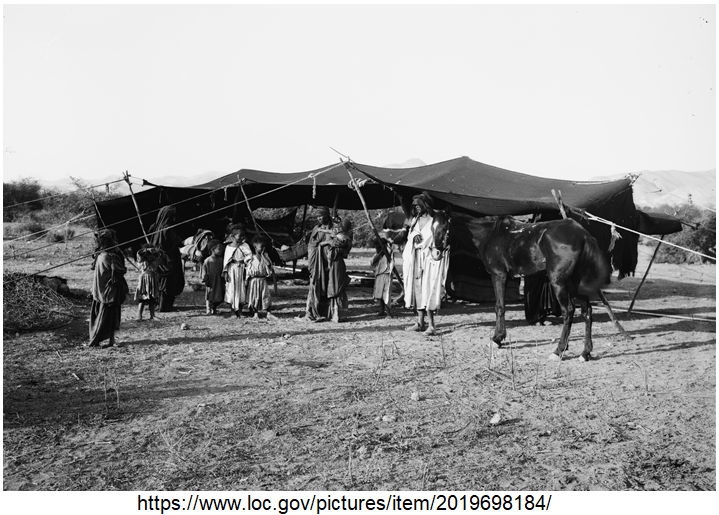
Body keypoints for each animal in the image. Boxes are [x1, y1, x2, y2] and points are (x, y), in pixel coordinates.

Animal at [434, 214, 612, 362]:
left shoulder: (498, 275)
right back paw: (585, 352)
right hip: (575, 284)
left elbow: (499, 306)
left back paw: (558, 351)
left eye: (444, 228)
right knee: (587, 312)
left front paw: (497, 339)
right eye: (433, 226)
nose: (435, 252)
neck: (490, 235)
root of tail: (583, 234)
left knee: (568, 311)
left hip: (559, 283)